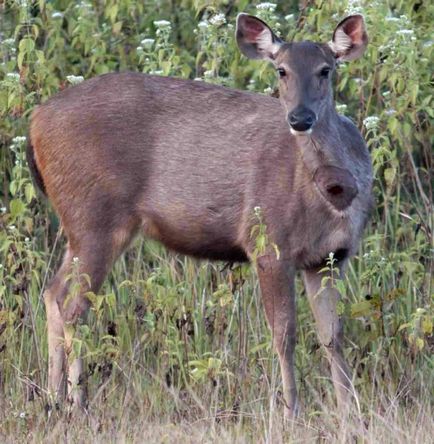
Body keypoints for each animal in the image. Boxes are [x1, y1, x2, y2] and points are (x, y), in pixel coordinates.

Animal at [27, 12, 372, 418]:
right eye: (281, 70)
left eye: (325, 70)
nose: (300, 118)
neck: (332, 194)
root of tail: (35, 120)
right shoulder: (268, 244)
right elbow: (284, 335)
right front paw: (291, 412)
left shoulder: (330, 256)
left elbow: (332, 335)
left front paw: (351, 412)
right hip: (94, 218)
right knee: (73, 307)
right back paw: (77, 403)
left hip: (79, 226)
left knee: (53, 293)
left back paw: (54, 400)